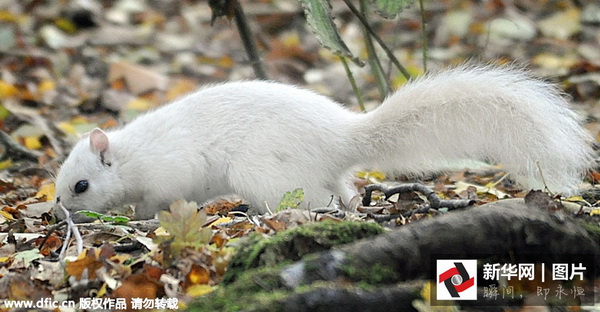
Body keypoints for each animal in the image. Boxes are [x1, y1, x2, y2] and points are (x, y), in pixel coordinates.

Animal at [54, 64, 592, 219]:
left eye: (80, 185)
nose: (59, 210)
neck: (130, 157)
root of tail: (340, 138)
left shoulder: (167, 173)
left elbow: (159, 202)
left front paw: (138, 217)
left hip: (267, 174)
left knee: (314, 201)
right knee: (343, 196)